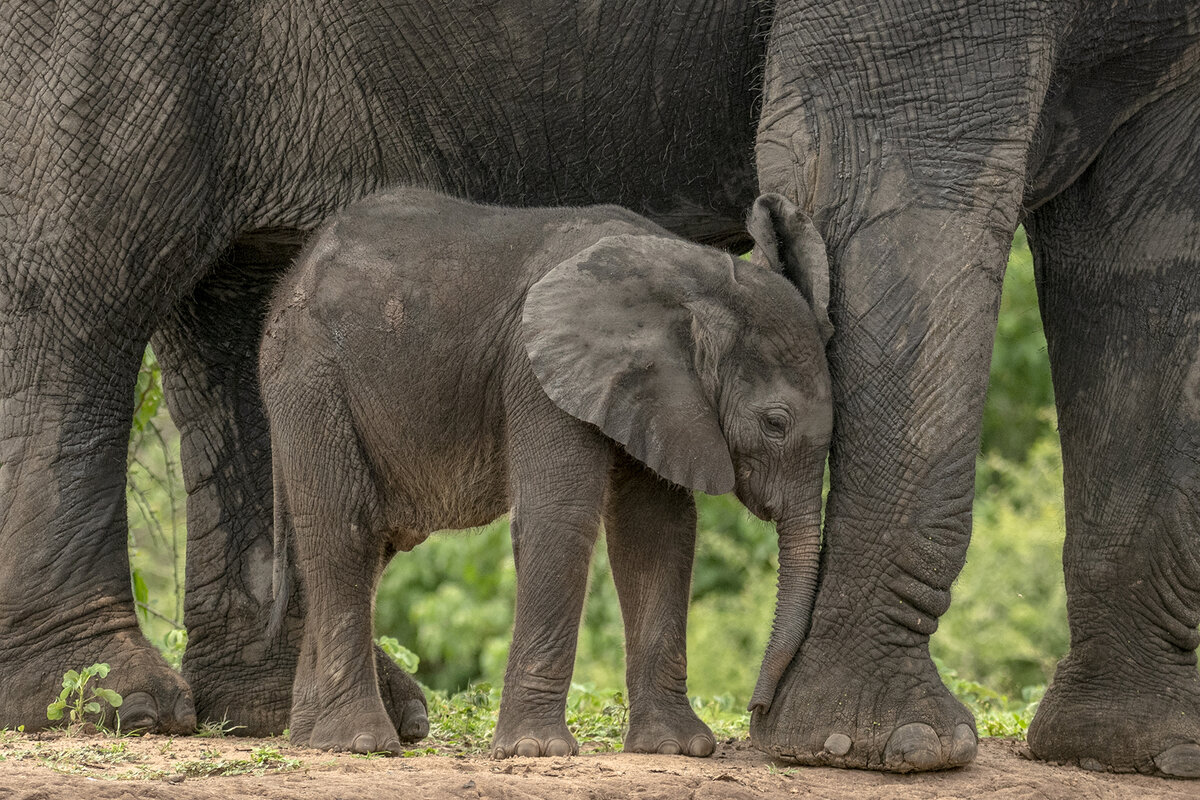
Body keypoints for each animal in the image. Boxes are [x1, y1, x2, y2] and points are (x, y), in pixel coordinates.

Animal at [258, 185, 830, 758]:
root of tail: (291, 276)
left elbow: (656, 529)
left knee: (374, 543)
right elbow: (560, 515)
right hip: (310, 376)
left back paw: (314, 739)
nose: (757, 708)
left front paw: (674, 747)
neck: (692, 276)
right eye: (775, 423)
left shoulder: (653, 393)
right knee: (344, 526)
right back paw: (361, 742)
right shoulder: (540, 370)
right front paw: (536, 750)